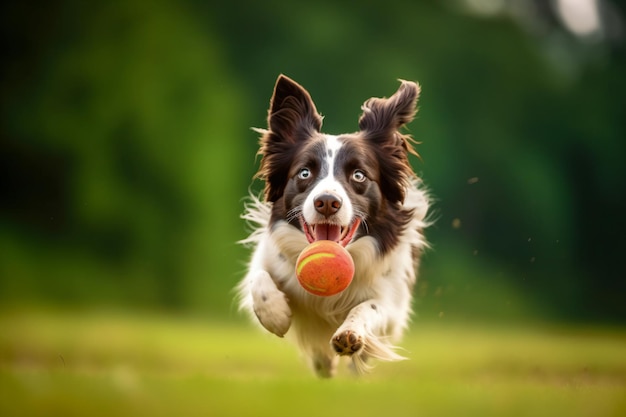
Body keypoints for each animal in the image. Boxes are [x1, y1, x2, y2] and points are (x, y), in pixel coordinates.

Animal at [236, 75, 426, 376]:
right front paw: (275, 315)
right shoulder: (266, 258)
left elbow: (370, 307)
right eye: (304, 172)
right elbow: (259, 278)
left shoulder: (393, 303)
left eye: (359, 175)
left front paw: (350, 334)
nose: (326, 202)